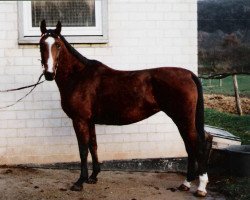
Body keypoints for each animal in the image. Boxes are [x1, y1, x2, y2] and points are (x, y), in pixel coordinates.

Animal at [40, 20, 212, 197]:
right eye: (41, 44)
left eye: (58, 45)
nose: (49, 74)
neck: (79, 76)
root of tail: (189, 74)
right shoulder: (90, 121)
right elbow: (93, 146)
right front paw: (93, 177)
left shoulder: (79, 120)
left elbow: (83, 150)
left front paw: (80, 182)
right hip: (184, 120)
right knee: (191, 145)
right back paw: (186, 183)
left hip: (183, 119)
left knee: (197, 144)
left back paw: (201, 187)